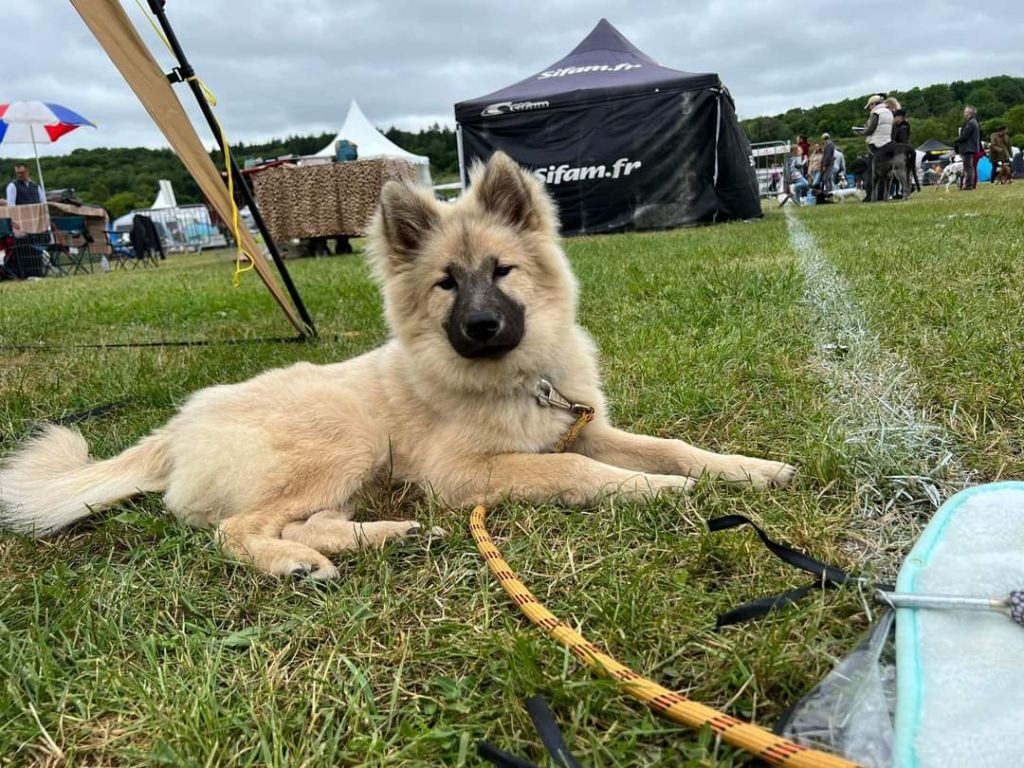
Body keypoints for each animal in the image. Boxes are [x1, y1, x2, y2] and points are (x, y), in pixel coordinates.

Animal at [0, 153, 794, 581]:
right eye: (446, 283)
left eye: (502, 272)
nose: (480, 327)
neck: (518, 379)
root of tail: (179, 426)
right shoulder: (467, 473)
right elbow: (579, 471)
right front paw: (654, 491)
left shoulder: (581, 424)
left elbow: (672, 446)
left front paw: (747, 470)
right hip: (346, 438)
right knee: (239, 531)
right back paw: (293, 564)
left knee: (307, 521)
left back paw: (384, 537)